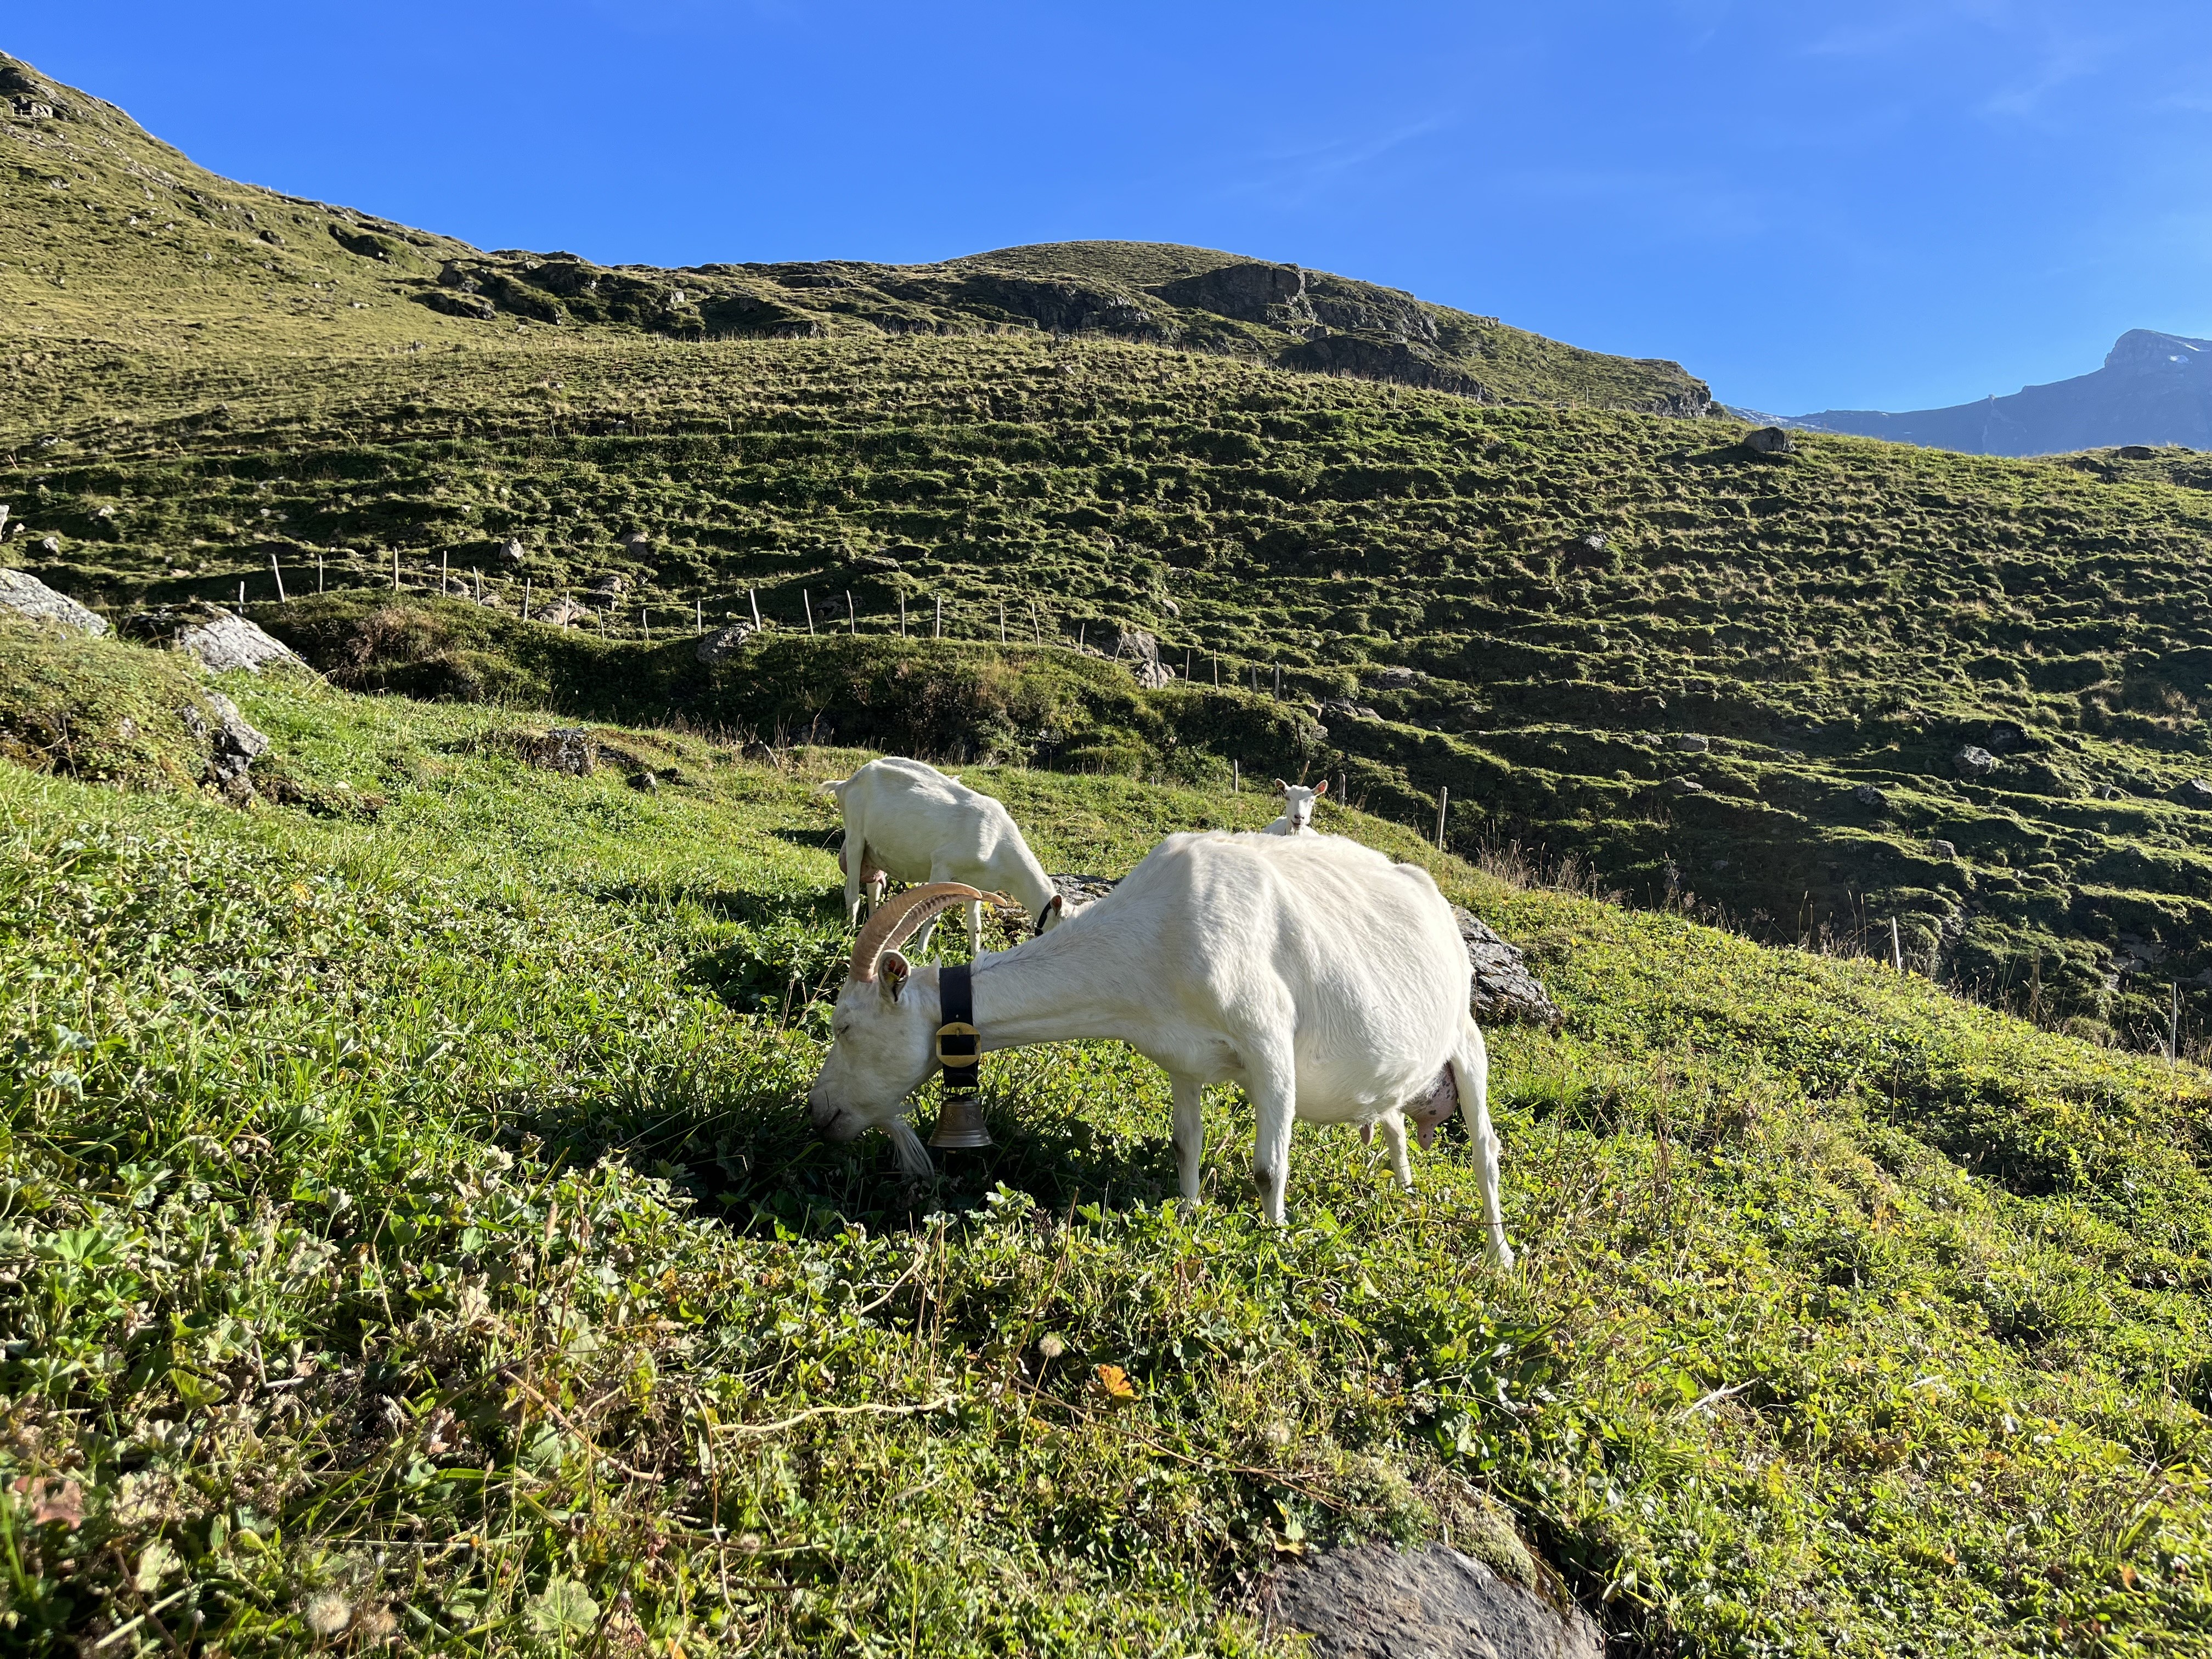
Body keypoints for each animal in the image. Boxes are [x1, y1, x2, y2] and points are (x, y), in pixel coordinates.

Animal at [814, 832, 1522, 1256]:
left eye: (844, 1026)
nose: (820, 1112)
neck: (1155, 931)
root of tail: (1434, 897)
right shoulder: (1181, 1058)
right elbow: (1186, 1145)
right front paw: (1187, 1220)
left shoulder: (1270, 1045)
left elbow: (1269, 1167)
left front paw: (1275, 1249)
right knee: (1396, 1126)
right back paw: (1405, 1198)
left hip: (1465, 1037)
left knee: (1486, 1149)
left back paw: (1499, 1254)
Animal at [827, 761, 1075, 955]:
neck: (998, 845)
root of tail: (846, 784)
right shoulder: (942, 866)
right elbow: (932, 915)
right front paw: (919, 952)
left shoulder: (975, 885)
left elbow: (975, 926)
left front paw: (976, 955)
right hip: (856, 835)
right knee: (852, 891)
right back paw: (849, 931)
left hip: (875, 852)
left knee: (874, 889)